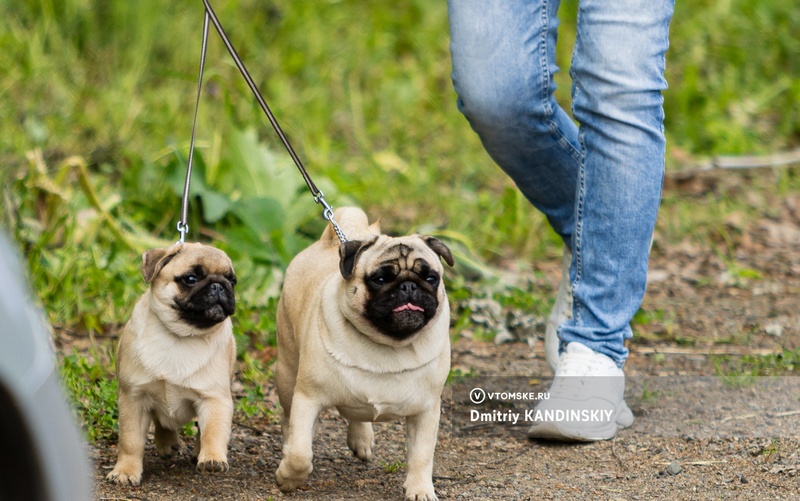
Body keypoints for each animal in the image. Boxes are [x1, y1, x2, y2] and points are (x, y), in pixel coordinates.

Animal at [106, 242, 238, 484]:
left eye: (232, 281)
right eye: (191, 279)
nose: (219, 286)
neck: (180, 336)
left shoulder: (215, 398)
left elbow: (213, 431)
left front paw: (212, 458)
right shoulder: (134, 398)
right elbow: (130, 441)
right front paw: (125, 471)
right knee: (162, 420)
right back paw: (167, 443)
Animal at [276, 205, 454, 498]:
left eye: (431, 278)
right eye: (380, 279)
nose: (408, 286)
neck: (388, 343)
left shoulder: (426, 412)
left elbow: (421, 455)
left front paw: (420, 490)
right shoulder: (308, 398)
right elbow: (301, 453)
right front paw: (288, 477)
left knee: (357, 414)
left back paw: (362, 439)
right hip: (288, 375)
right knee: (290, 421)